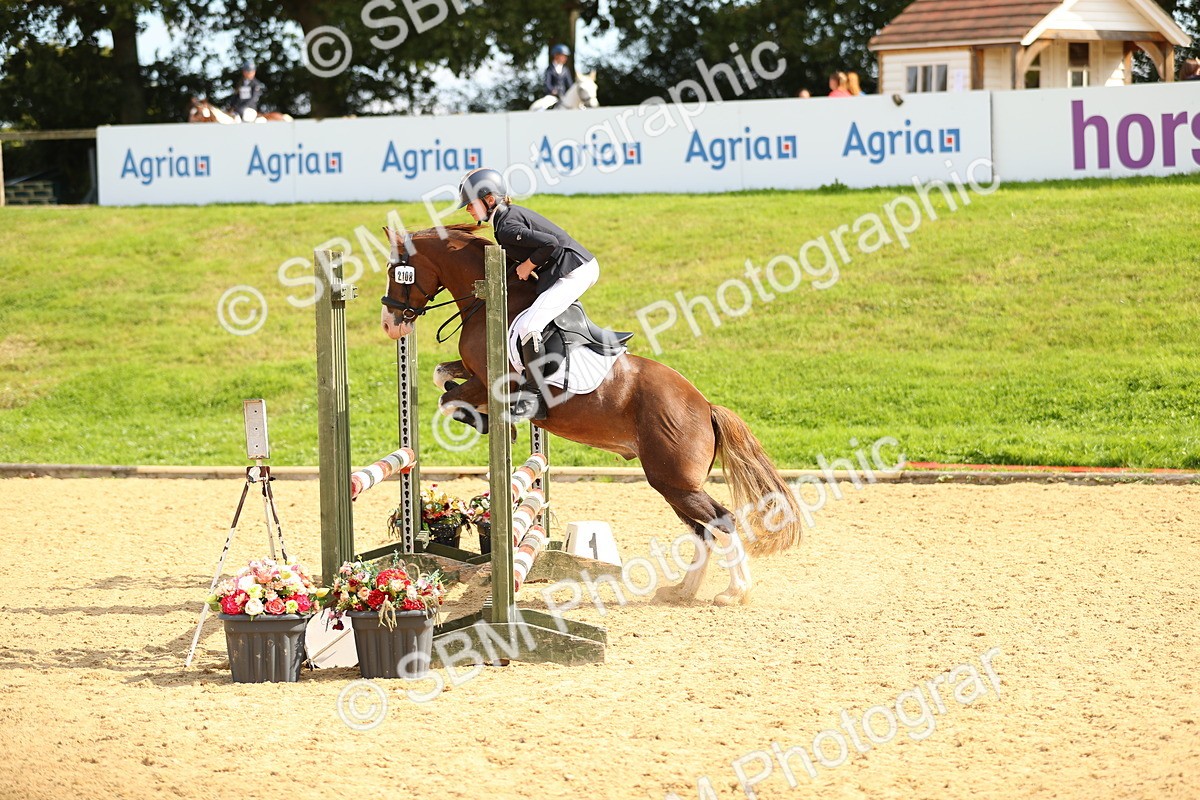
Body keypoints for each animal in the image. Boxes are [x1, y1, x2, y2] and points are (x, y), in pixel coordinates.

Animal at [378, 224, 804, 606]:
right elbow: (442, 378)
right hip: (671, 484)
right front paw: (485, 418)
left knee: (722, 521)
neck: (486, 299)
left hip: (675, 481)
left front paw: (491, 422)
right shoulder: (473, 375)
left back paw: (734, 593)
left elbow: (448, 399)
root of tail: (705, 406)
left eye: (399, 271)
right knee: (704, 531)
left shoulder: (491, 382)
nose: (390, 324)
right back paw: (682, 590)